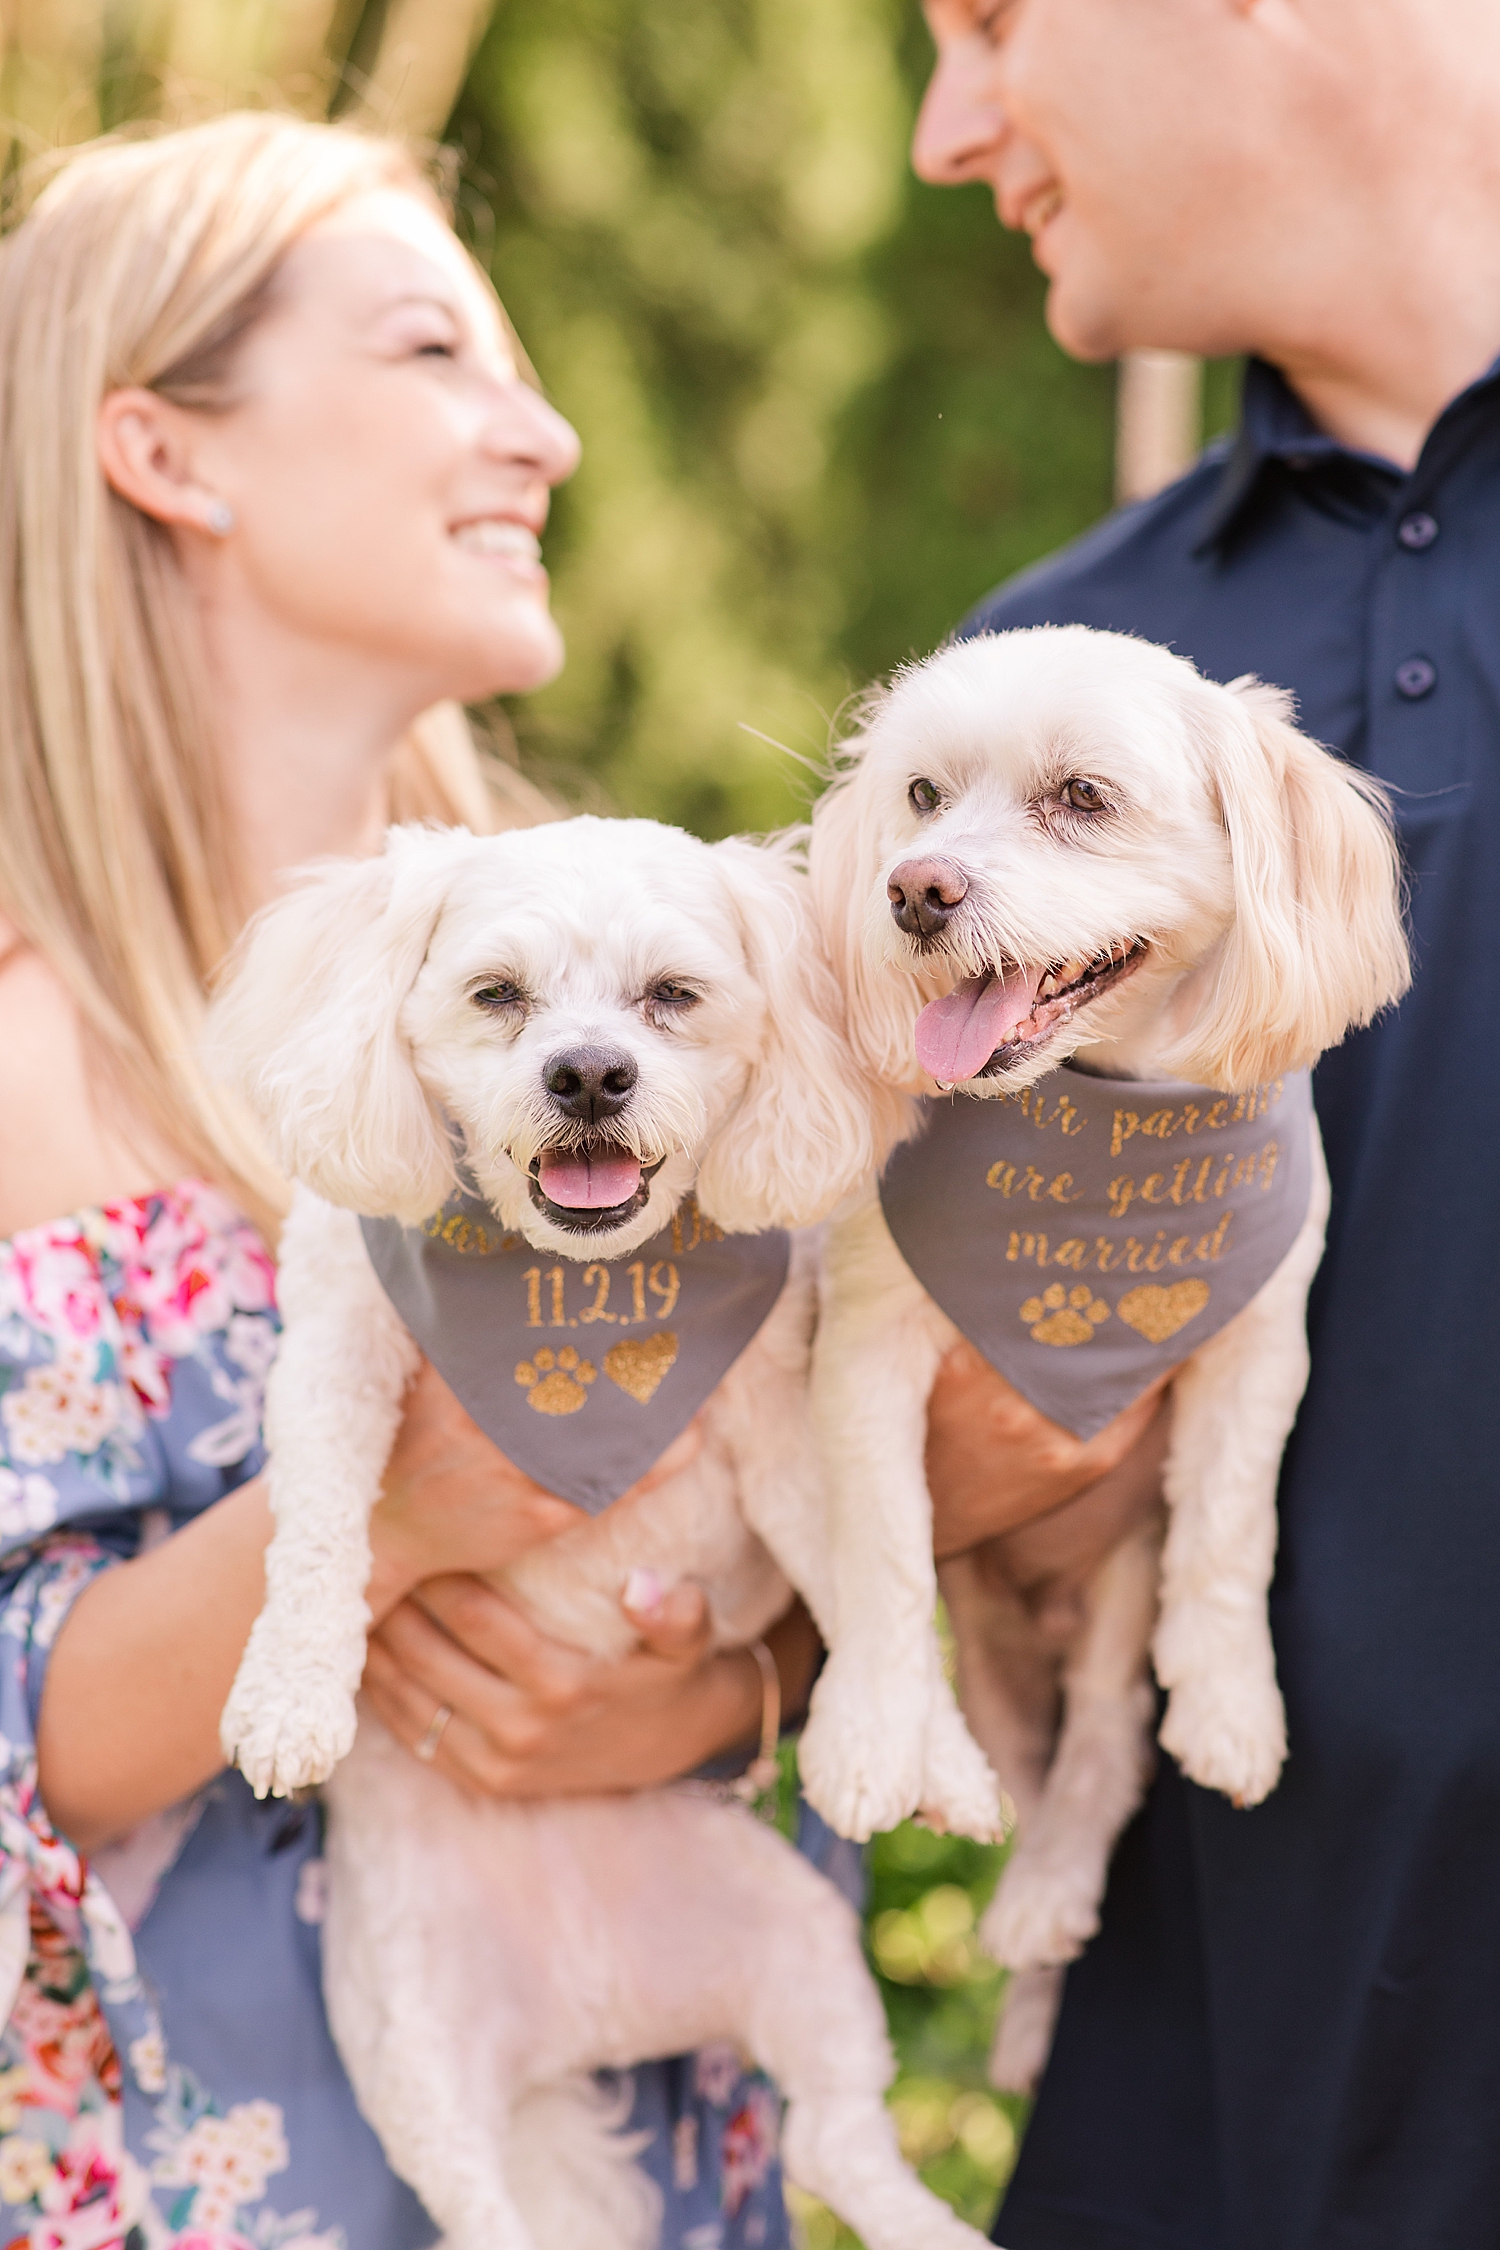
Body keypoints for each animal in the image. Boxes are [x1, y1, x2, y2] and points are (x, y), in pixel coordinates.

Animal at [202, 819, 976, 2250]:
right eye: (497, 995)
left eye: (671, 997)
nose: (591, 1073)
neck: (575, 1287)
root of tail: (585, 2022)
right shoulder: (333, 1355)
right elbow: (320, 1527)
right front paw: (290, 1696)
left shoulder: (777, 1433)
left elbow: (862, 1575)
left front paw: (928, 1750)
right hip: (420, 2061)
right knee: (492, 2217)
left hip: (801, 1951)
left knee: (843, 2143)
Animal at [796, 630, 1412, 2088]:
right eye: (920, 798)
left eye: (1083, 796)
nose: (914, 890)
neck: (1101, 1123)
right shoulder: (868, 1353)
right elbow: (883, 1555)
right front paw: (870, 1731)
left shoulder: (1256, 1345)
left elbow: (1231, 1528)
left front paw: (1236, 1698)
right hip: (1000, 1667)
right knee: (1038, 1778)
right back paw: (1031, 1953)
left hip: (1114, 1595)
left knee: (1111, 1751)